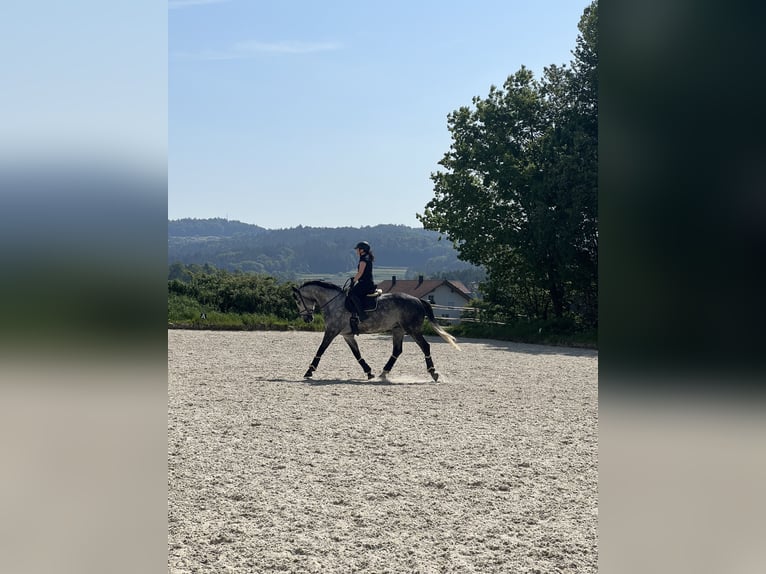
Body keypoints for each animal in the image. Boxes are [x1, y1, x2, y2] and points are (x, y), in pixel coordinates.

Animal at [292, 280, 461, 381]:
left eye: (298, 300)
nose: (307, 319)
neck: (333, 302)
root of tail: (418, 300)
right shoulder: (347, 335)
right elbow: (357, 354)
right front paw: (369, 372)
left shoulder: (332, 331)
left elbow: (321, 349)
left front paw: (309, 371)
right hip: (398, 330)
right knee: (397, 350)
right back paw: (384, 373)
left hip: (412, 329)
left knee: (425, 346)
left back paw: (433, 372)